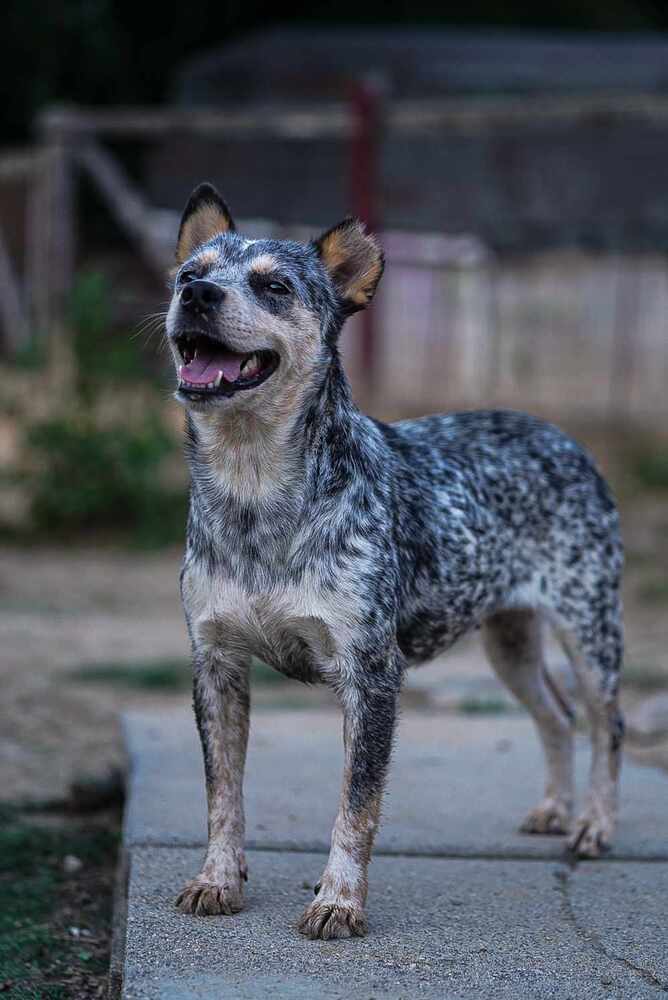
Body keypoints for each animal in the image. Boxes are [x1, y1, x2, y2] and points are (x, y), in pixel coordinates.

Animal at [164, 184, 624, 940]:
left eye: (274, 285)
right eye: (186, 273)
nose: (197, 294)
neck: (255, 493)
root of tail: (562, 437)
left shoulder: (372, 671)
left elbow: (357, 805)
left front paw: (338, 902)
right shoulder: (216, 661)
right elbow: (222, 794)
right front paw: (216, 881)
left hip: (590, 630)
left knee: (605, 723)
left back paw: (594, 826)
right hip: (509, 639)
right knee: (556, 717)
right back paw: (555, 811)